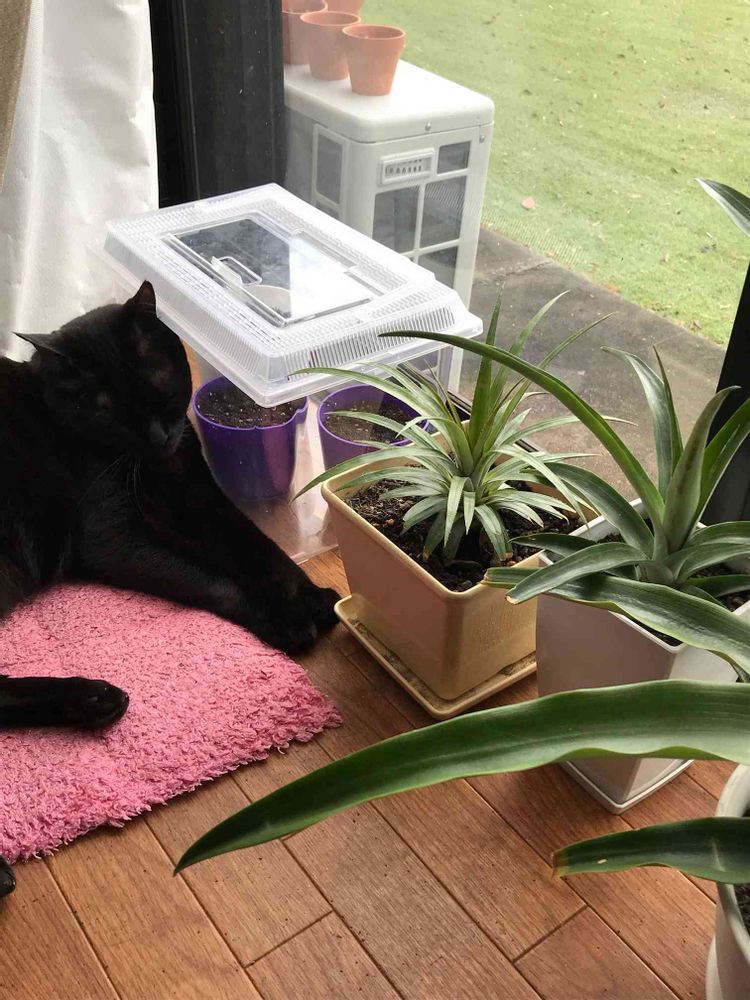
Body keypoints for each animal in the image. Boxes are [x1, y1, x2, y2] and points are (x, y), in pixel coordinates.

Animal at [0, 281, 339, 895]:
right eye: (108, 411)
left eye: (158, 390)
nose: (159, 436)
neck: (157, 469)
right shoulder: (117, 535)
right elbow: (213, 573)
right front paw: (286, 621)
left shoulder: (200, 491)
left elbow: (258, 547)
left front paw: (309, 598)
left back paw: (93, 701)